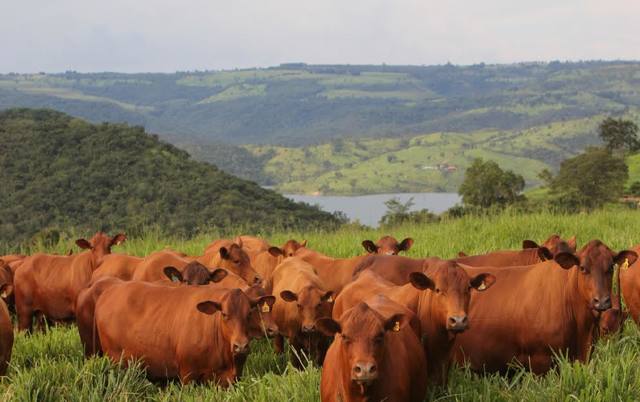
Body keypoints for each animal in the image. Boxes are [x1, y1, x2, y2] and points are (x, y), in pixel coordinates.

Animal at [95, 282, 272, 384]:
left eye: (249, 313)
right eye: (224, 314)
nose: (240, 346)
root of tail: (110, 291)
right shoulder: (188, 375)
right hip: (116, 360)